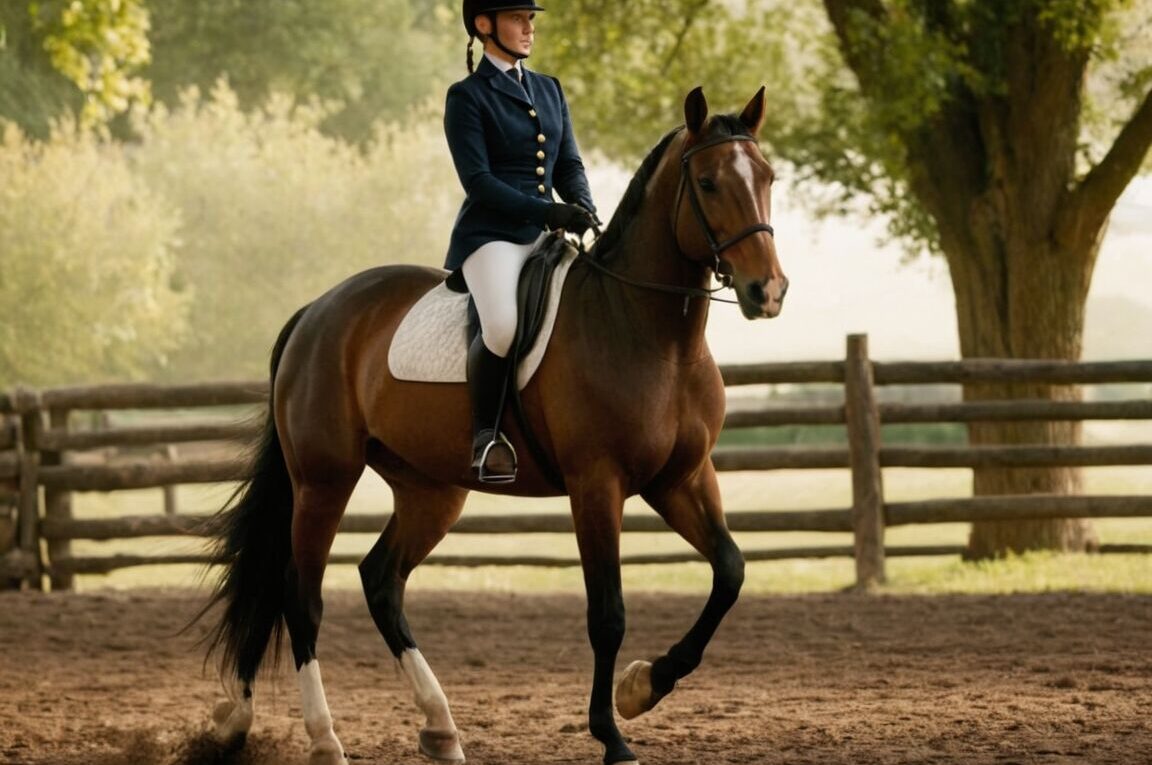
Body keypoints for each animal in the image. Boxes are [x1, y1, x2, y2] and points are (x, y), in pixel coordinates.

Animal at [198, 85, 788, 765]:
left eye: (768, 177)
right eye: (710, 183)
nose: (768, 291)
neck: (650, 334)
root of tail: (316, 312)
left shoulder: (682, 478)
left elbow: (730, 572)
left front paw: (643, 686)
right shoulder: (597, 485)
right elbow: (607, 613)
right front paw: (612, 733)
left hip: (430, 489)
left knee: (381, 581)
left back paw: (439, 728)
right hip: (323, 481)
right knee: (302, 596)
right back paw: (323, 739)